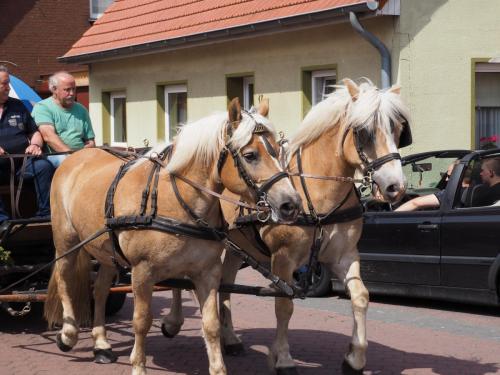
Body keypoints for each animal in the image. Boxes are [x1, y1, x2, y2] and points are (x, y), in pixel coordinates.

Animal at [43, 99, 300, 375]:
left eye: (278, 151)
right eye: (250, 155)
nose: (291, 203)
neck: (178, 200)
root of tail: (76, 156)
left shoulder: (207, 272)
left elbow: (211, 325)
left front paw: (218, 367)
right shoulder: (142, 271)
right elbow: (141, 321)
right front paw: (138, 367)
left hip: (106, 251)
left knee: (100, 289)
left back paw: (101, 344)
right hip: (66, 241)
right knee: (64, 278)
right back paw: (68, 333)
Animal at [162, 78, 412, 374]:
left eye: (398, 129)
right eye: (364, 132)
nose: (396, 187)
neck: (315, 195)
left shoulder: (344, 254)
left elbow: (360, 296)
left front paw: (355, 358)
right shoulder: (284, 259)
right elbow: (284, 306)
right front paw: (283, 358)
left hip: (234, 247)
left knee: (224, 284)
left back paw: (230, 338)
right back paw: (173, 321)